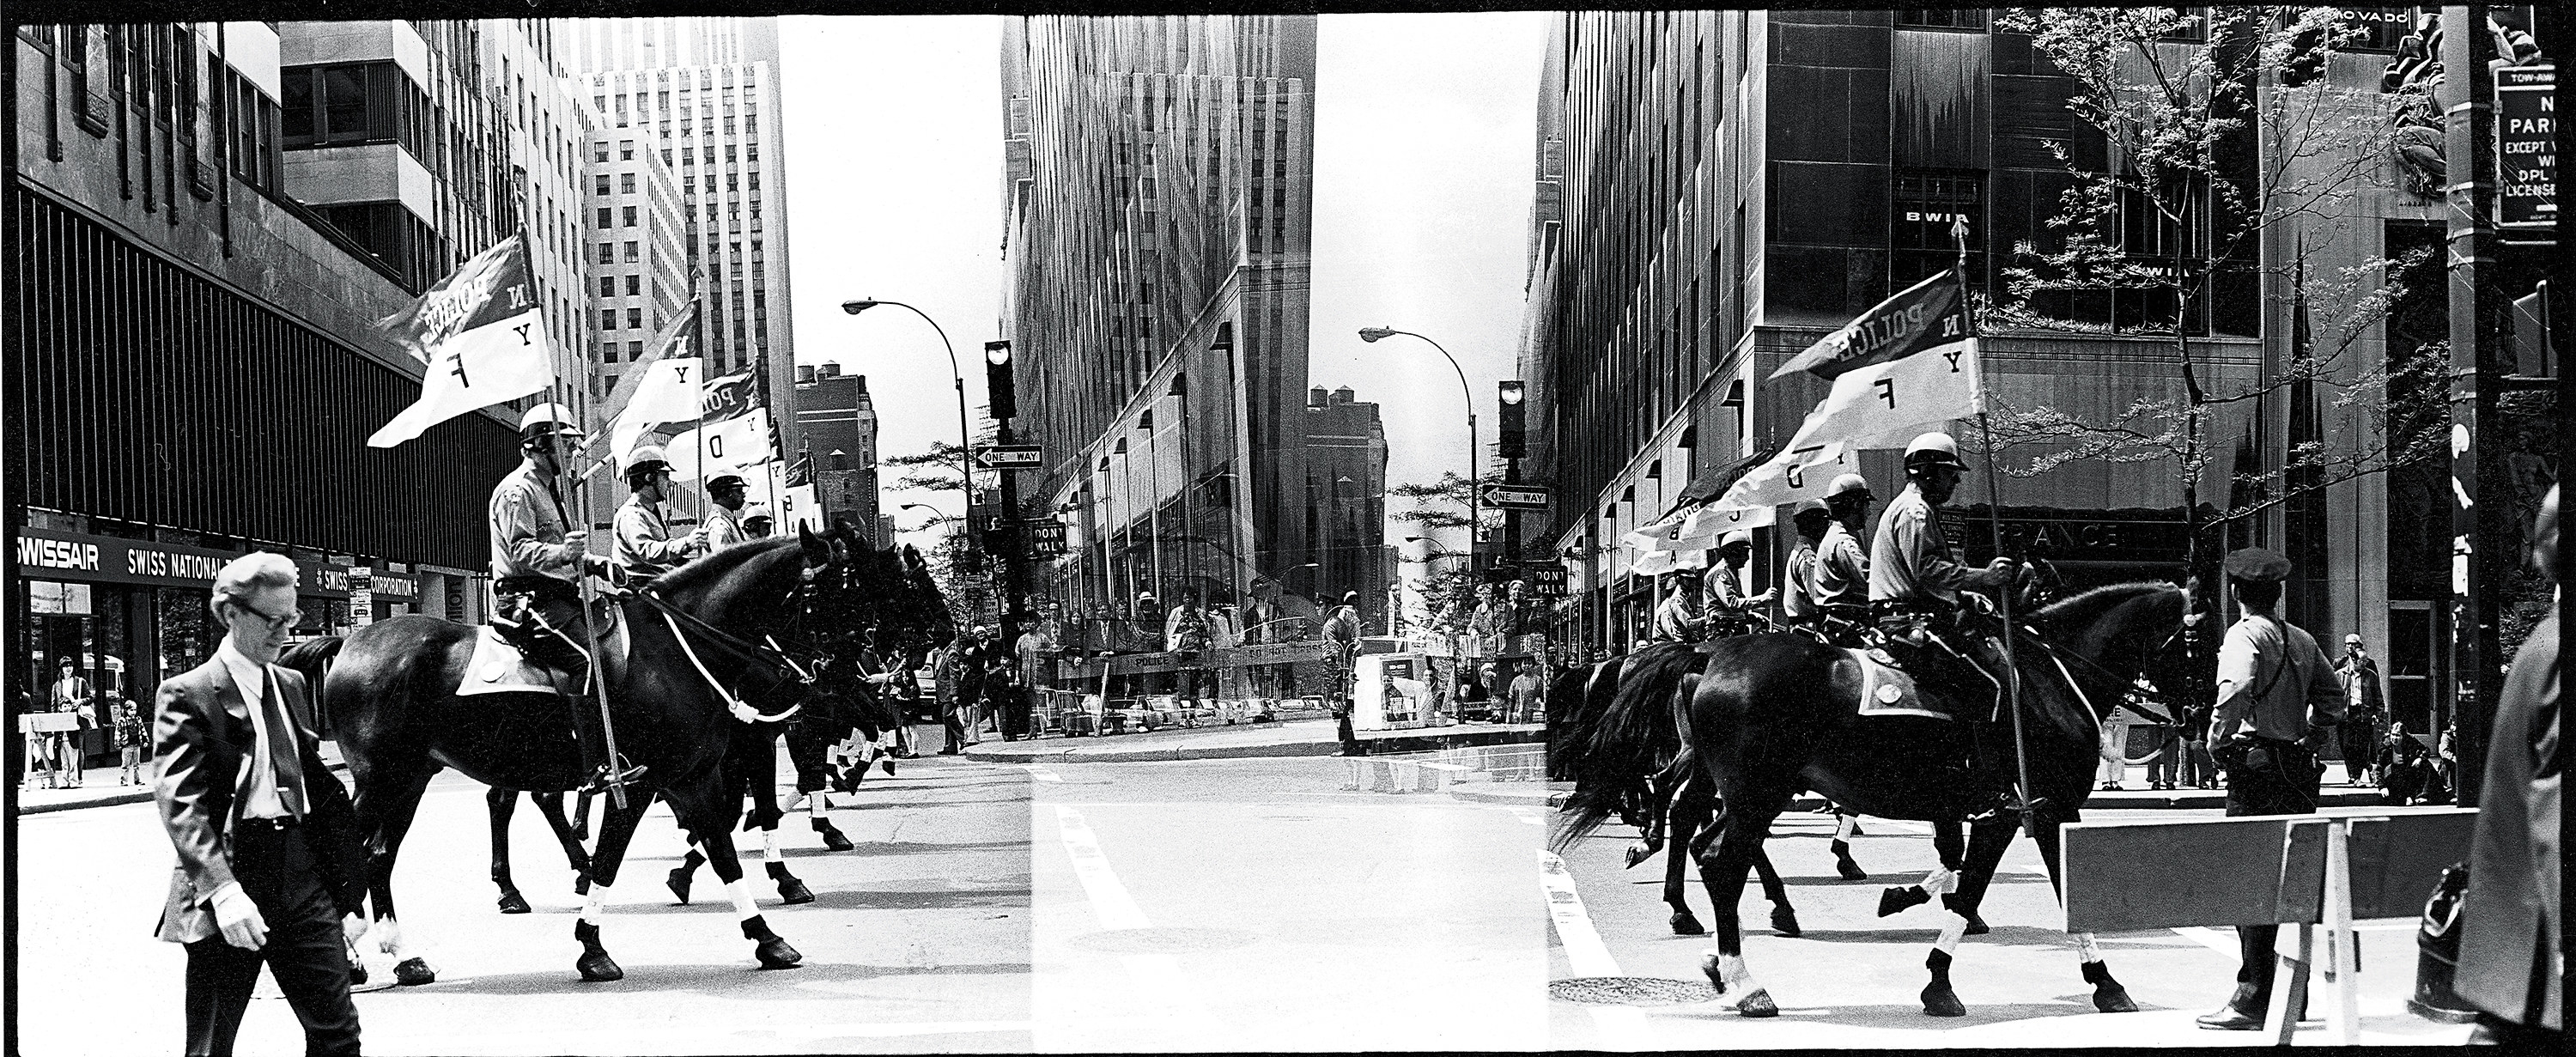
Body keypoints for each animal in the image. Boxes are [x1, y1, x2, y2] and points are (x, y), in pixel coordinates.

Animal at [276, 528, 871, 984]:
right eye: (841, 591)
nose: (856, 680)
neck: (678, 651)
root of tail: (348, 642)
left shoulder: (685, 776)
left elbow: (715, 850)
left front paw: (765, 937)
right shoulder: (650, 780)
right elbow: (628, 855)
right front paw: (595, 947)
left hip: (409, 780)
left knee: (378, 857)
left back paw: (405, 956)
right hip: (380, 779)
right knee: (349, 851)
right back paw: (355, 956)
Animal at [1556, 582, 2184, 1020]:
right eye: (2193, 639)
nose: (2196, 710)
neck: (2047, 682)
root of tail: (1707, 656)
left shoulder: (2012, 812)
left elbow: (1968, 874)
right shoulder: (2035, 809)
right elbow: (1988, 881)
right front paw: (2101, 982)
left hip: (1740, 790)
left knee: (1698, 832)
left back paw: (1714, 941)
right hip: (1758, 792)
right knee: (1719, 857)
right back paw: (1748, 977)